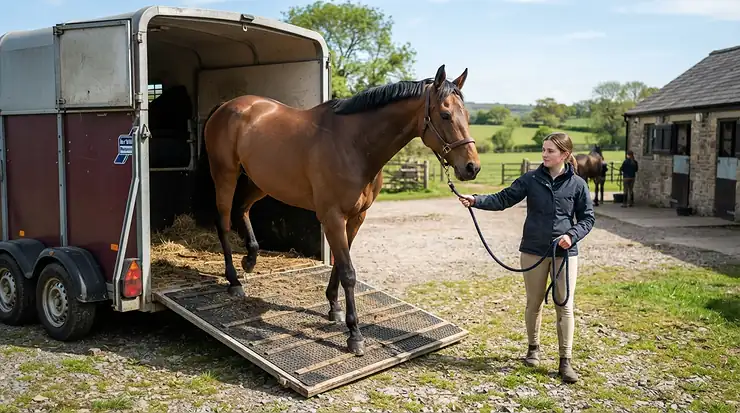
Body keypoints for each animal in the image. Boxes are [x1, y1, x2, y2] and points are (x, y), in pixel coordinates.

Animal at [200, 64, 481, 356]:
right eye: (445, 115)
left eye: (467, 115)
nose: (472, 167)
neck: (354, 144)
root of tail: (226, 106)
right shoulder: (333, 217)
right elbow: (348, 272)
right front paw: (354, 334)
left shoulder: (356, 217)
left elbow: (339, 264)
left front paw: (333, 307)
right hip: (225, 175)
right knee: (223, 221)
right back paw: (234, 281)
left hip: (260, 181)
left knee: (242, 209)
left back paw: (251, 259)